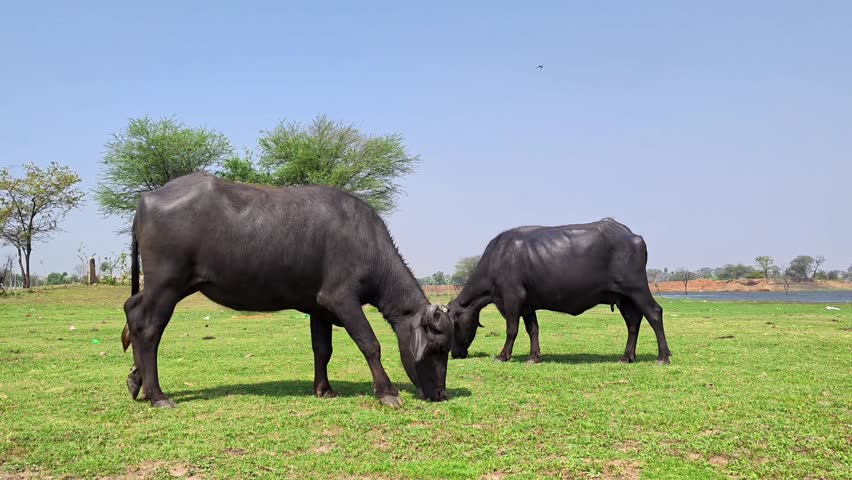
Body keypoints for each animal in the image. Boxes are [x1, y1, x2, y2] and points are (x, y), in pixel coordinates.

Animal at [121, 173, 453, 408]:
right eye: (437, 348)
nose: (440, 394)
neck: (364, 242)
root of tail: (149, 197)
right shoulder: (342, 299)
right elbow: (369, 343)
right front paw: (387, 392)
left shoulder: (319, 308)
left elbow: (322, 349)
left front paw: (324, 389)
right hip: (167, 284)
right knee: (148, 328)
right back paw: (158, 395)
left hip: (174, 285)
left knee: (133, 311)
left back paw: (137, 380)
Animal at [449, 218, 671, 365]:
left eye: (454, 325)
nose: (455, 354)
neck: (498, 257)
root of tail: (632, 236)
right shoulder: (527, 304)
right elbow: (533, 329)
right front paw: (533, 356)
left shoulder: (512, 299)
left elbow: (512, 329)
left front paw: (503, 355)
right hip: (624, 298)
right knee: (633, 322)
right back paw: (626, 357)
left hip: (637, 288)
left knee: (654, 313)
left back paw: (663, 357)